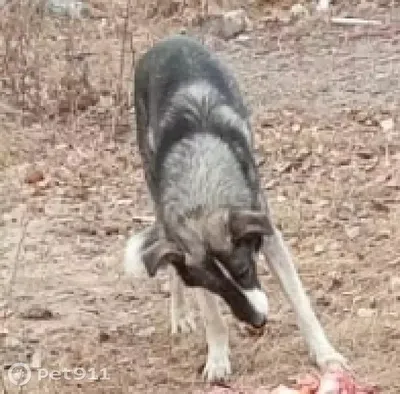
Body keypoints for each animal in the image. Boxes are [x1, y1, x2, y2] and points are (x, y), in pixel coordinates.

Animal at [125, 34, 346, 382]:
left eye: (243, 271)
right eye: (217, 288)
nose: (258, 324)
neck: (202, 191)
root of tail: (170, 39)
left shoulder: (268, 235)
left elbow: (301, 302)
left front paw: (325, 354)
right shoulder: (188, 252)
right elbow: (212, 317)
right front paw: (217, 359)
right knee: (169, 264)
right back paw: (180, 314)